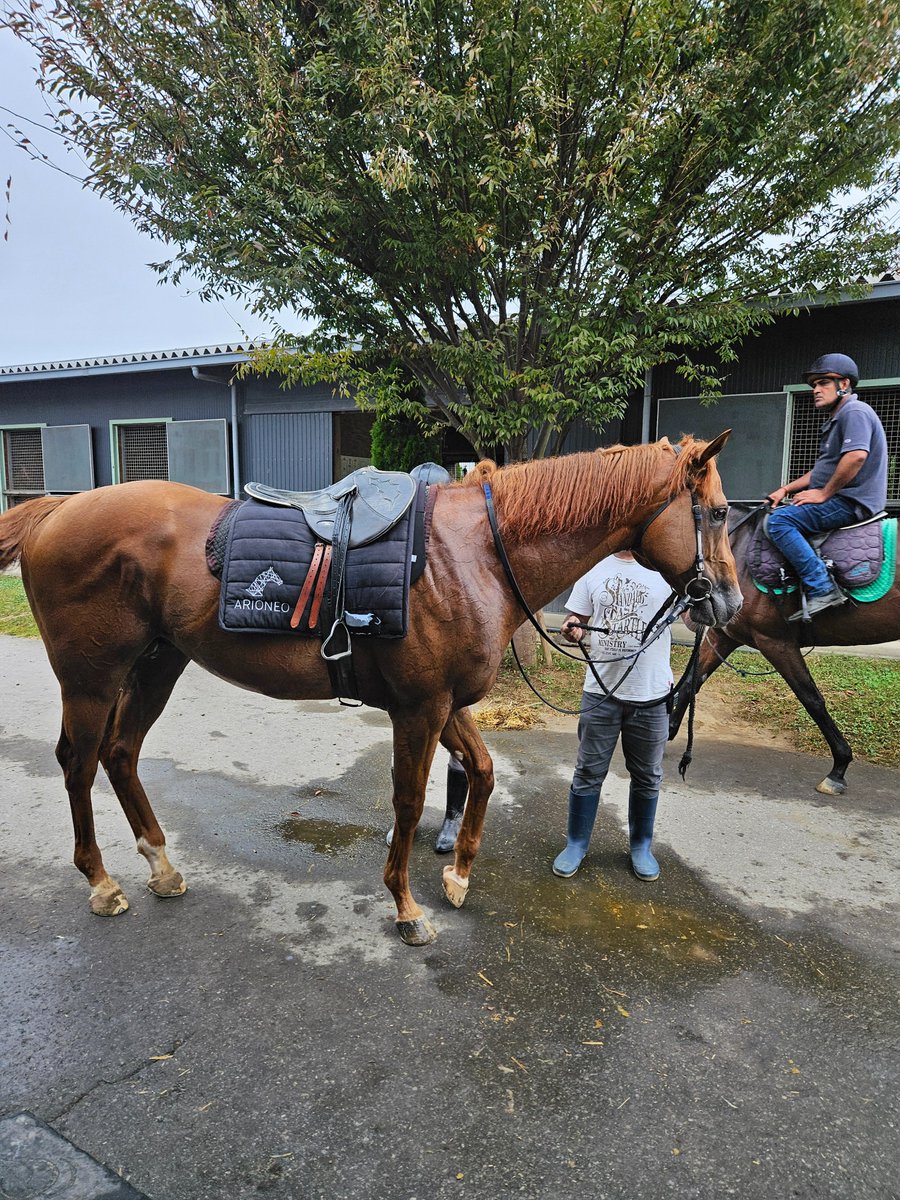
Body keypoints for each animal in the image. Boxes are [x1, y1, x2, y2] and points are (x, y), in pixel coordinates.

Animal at [0, 433, 741, 946]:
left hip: (157, 664)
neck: (473, 554)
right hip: (91, 678)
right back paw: (102, 883)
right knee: (78, 763)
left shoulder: (446, 704)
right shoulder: (420, 708)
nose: (729, 603)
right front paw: (407, 909)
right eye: (716, 513)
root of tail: (52, 515)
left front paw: (458, 876)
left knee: (120, 755)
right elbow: (410, 806)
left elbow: (483, 771)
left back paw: (161, 867)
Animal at [669, 502, 899, 796]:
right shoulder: (724, 636)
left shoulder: (775, 641)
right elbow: (692, 682)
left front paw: (839, 767)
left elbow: (811, 698)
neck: (737, 546)